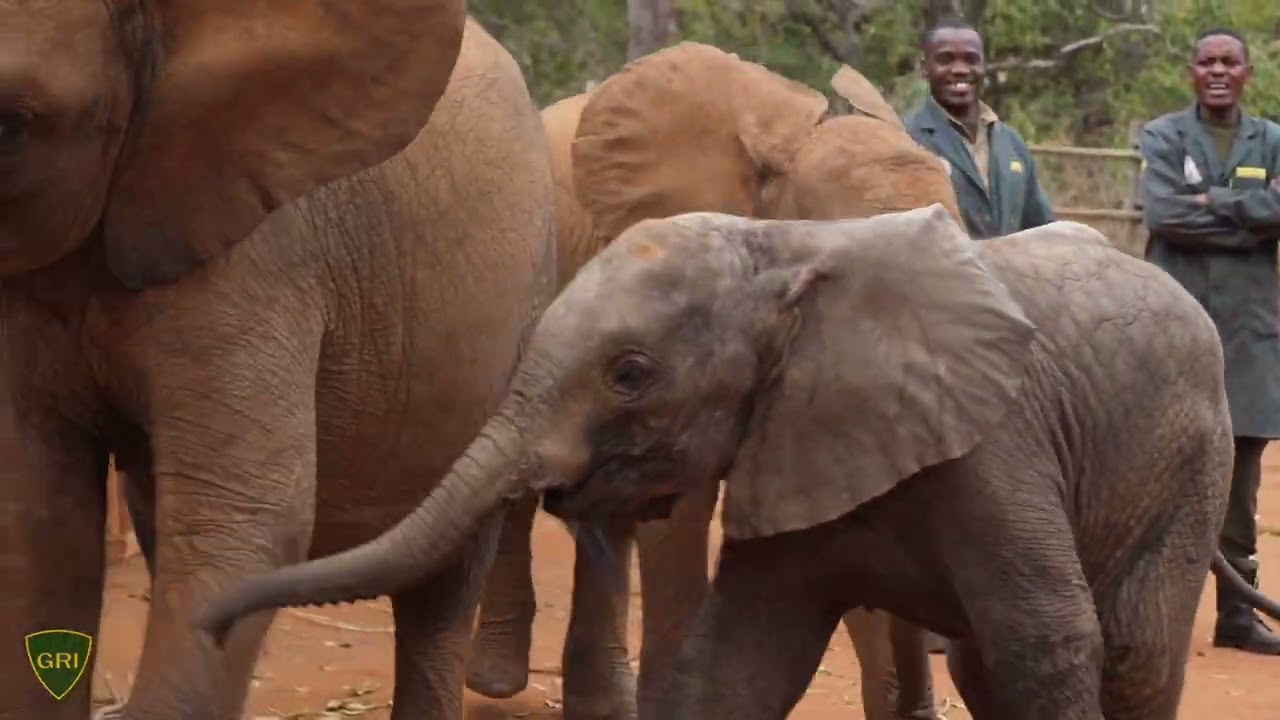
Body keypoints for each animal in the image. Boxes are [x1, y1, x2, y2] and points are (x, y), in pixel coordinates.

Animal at [194, 206, 1280, 720]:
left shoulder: (994, 439)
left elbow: (1048, 642)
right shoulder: (793, 446)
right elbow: (740, 659)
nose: (210, 622)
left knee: (1126, 648)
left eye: (630, 374)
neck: (787, 248)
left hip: (1179, 461)